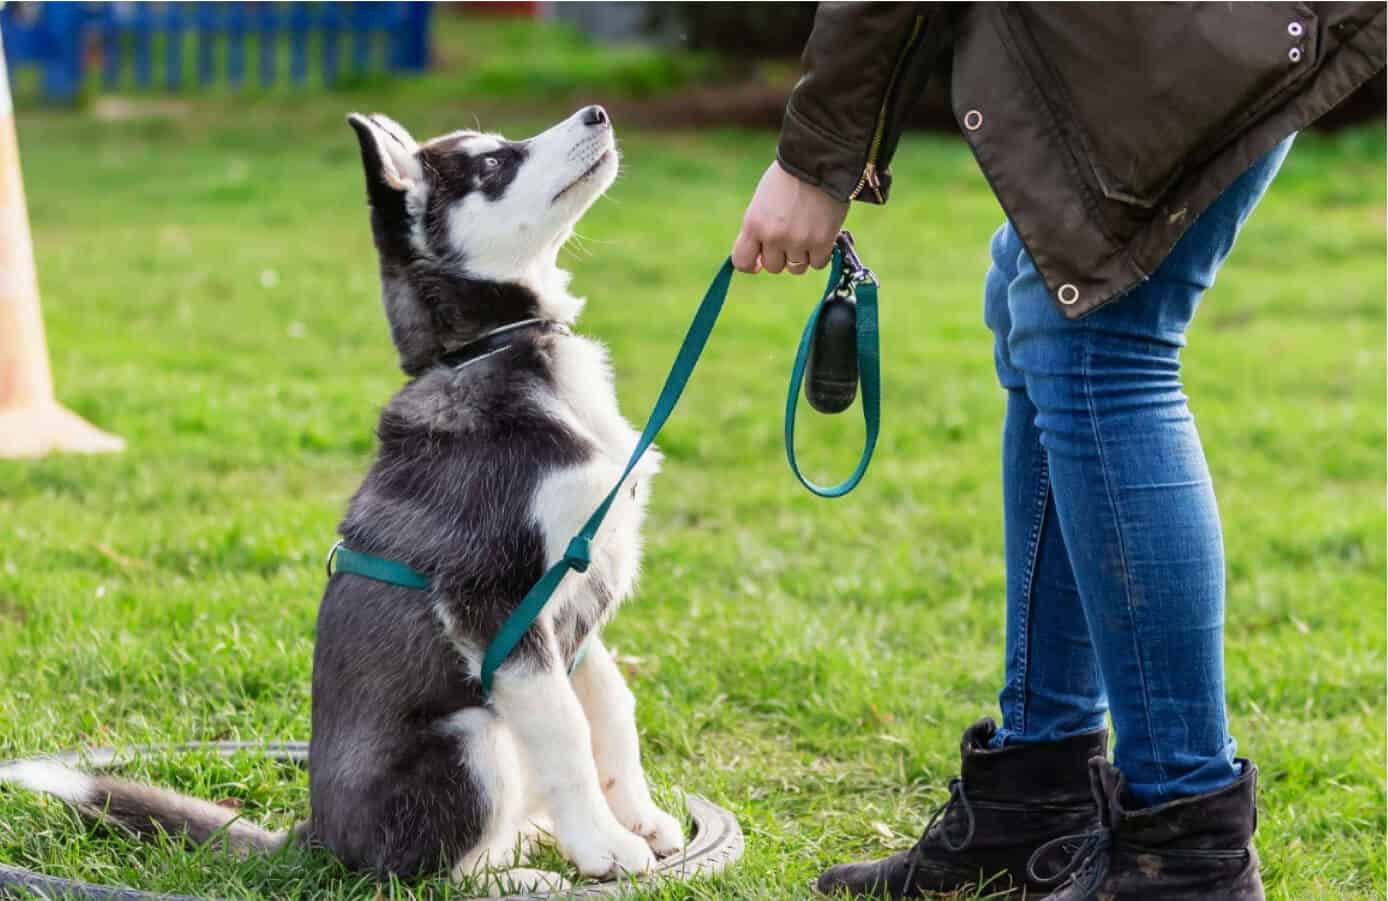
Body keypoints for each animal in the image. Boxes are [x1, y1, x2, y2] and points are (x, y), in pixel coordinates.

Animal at [0, 105, 682, 882]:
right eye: (492, 165)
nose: (598, 112)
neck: (490, 350)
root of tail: (318, 835)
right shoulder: (494, 603)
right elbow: (568, 730)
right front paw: (605, 845)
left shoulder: (574, 601)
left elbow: (611, 705)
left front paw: (640, 816)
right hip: (471, 737)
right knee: (431, 869)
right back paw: (520, 873)